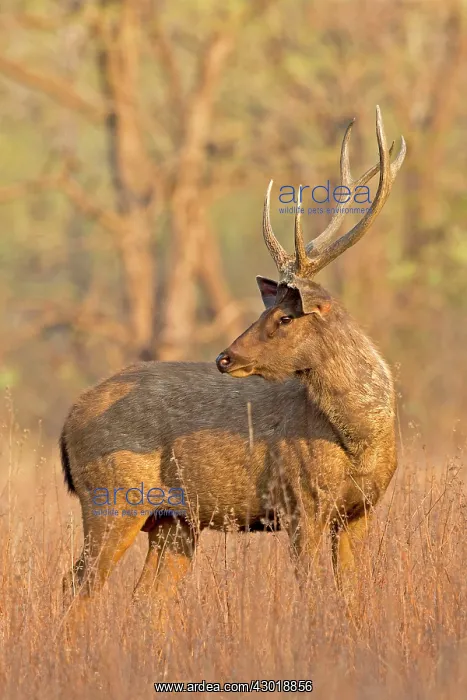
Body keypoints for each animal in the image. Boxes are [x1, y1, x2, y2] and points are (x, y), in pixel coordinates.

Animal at [61, 106, 405, 606]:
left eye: (285, 316)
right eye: (270, 310)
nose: (225, 357)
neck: (361, 440)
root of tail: (68, 420)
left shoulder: (359, 511)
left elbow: (351, 597)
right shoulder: (300, 502)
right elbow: (311, 592)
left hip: (173, 519)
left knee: (147, 595)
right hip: (111, 498)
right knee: (78, 584)